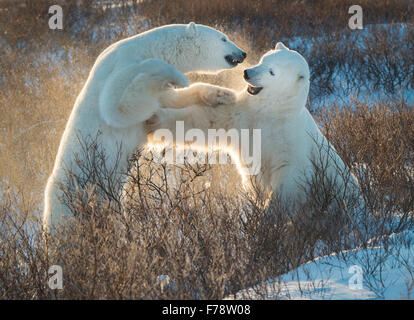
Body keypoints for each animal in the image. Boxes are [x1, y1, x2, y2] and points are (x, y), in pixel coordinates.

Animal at [43, 22, 246, 226]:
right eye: (223, 38)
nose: (243, 53)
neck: (147, 47)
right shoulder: (121, 68)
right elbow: (117, 106)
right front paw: (178, 76)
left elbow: (168, 101)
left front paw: (222, 94)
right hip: (71, 199)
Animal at [146, 42, 360, 205]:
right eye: (262, 60)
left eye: (272, 72)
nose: (247, 73)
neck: (270, 111)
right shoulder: (241, 115)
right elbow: (205, 122)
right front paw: (153, 120)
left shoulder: (290, 141)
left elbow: (289, 176)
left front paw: (268, 214)